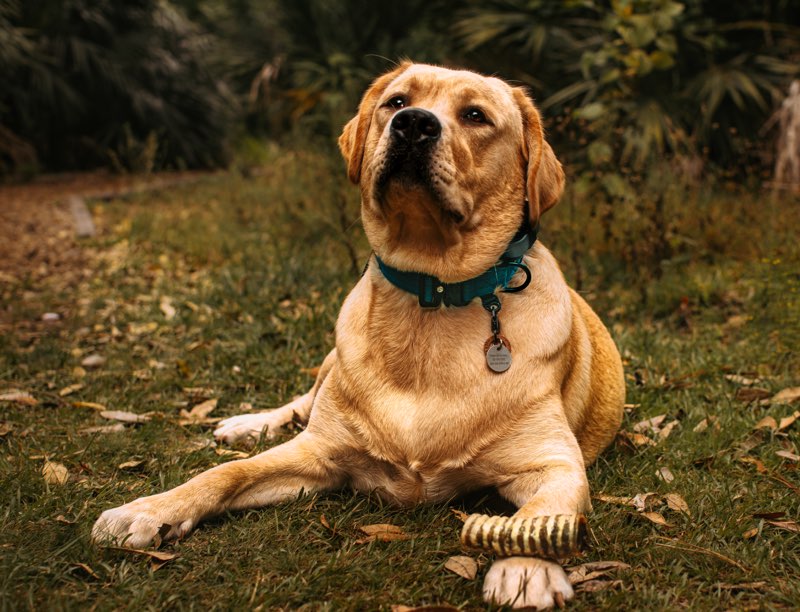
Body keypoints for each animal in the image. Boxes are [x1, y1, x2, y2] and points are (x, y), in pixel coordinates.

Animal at [94, 62, 628, 608]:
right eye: (397, 102)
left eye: (476, 115)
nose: (413, 125)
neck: (431, 298)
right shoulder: (317, 453)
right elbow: (228, 472)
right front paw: (151, 508)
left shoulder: (555, 464)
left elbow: (542, 515)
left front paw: (526, 567)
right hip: (330, 367)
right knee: (301, 403)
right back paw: (249, 423)